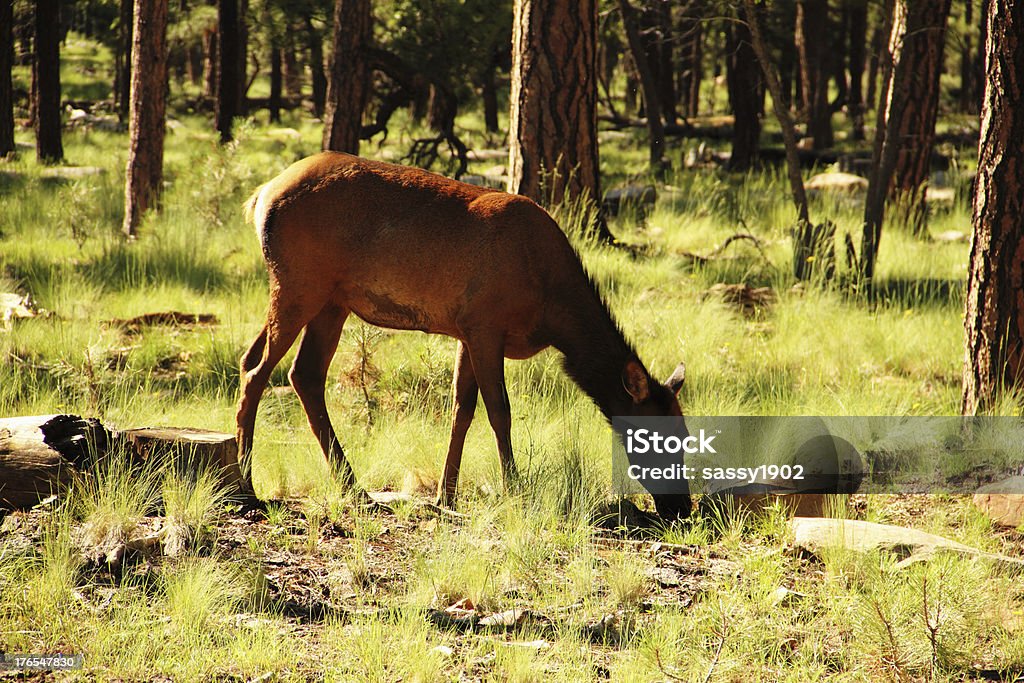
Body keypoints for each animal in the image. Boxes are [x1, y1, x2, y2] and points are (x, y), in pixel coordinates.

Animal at [235, 152, 692, 520]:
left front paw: (446, 495)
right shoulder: (485, 324)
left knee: (298, 372)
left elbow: (462, 409)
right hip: (300, 283)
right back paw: (247, 486)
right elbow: (499, 410)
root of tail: (260, 196)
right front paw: (514, 489)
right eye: (659, 439)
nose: (681, 508)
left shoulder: (466, 330)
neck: (551, 306)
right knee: (259, 370)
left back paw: (353, 487)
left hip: (331, 300)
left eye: (686, 436)